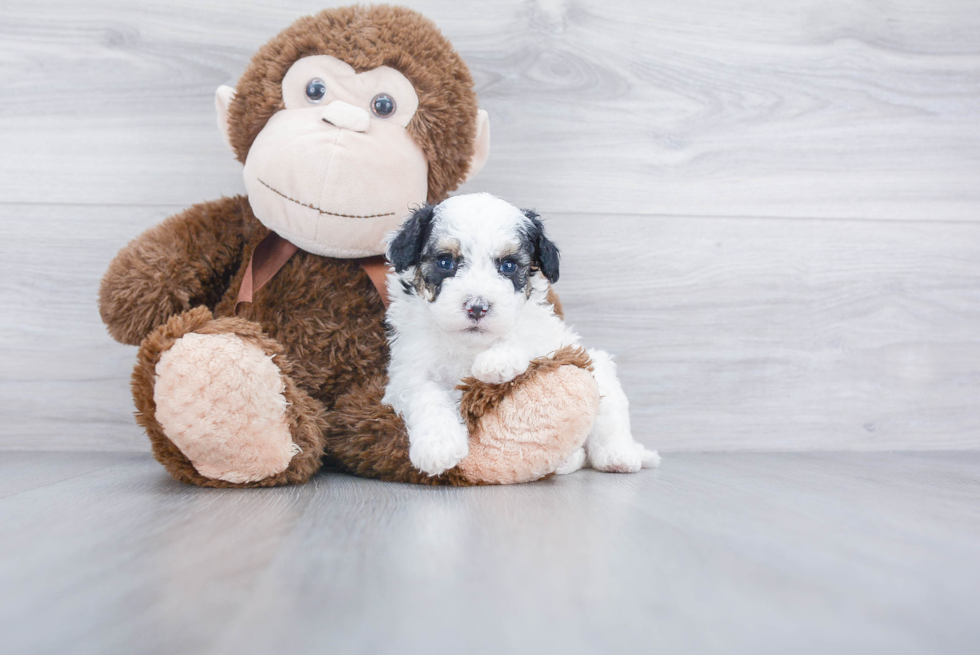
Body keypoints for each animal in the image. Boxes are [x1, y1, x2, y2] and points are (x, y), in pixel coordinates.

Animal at [380, 191, 660, 476]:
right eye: (445, 262)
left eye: (508, 265)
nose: (477, 307)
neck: (470, 343)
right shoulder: (408, 372)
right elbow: (425, 394)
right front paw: (438, 446)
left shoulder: (549, 338)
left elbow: (525, 334)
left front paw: (496, 361)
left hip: (599, 370)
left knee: (609, 418)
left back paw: (618, 456)